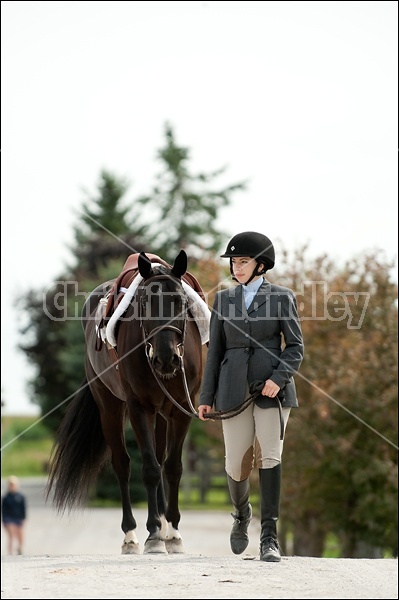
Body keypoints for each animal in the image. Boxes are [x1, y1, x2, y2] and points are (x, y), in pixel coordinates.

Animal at [46, 248, 208, 552]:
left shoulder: (181, 409)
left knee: (160, 458)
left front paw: (172, 532)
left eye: (181, 301)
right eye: (145, 302)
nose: (167, 358)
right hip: (110, 408)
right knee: (122, 464)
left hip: (161, 413)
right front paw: (153, 533)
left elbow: (172, 467)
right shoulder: (138, 408)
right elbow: (149, 469)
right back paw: (130, 535)